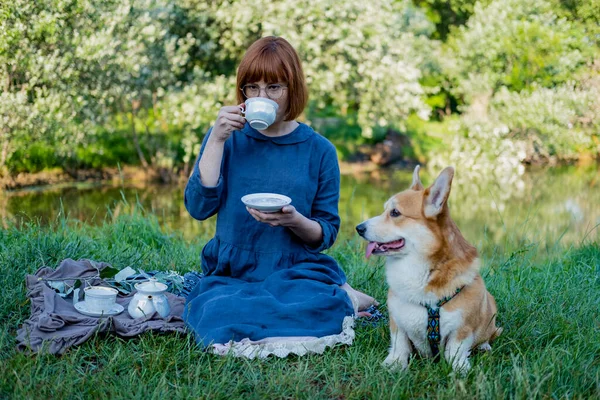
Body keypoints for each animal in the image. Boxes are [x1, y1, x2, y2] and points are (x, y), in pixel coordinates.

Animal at [356, 166, 502, 372]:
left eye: (395, 213)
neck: (420, 271)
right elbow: (400, 344)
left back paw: (484, 346)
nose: (358, 228)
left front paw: (459, 368)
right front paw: (394, 364)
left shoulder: (462, 329)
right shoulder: (397, 321)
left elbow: (455, 350)